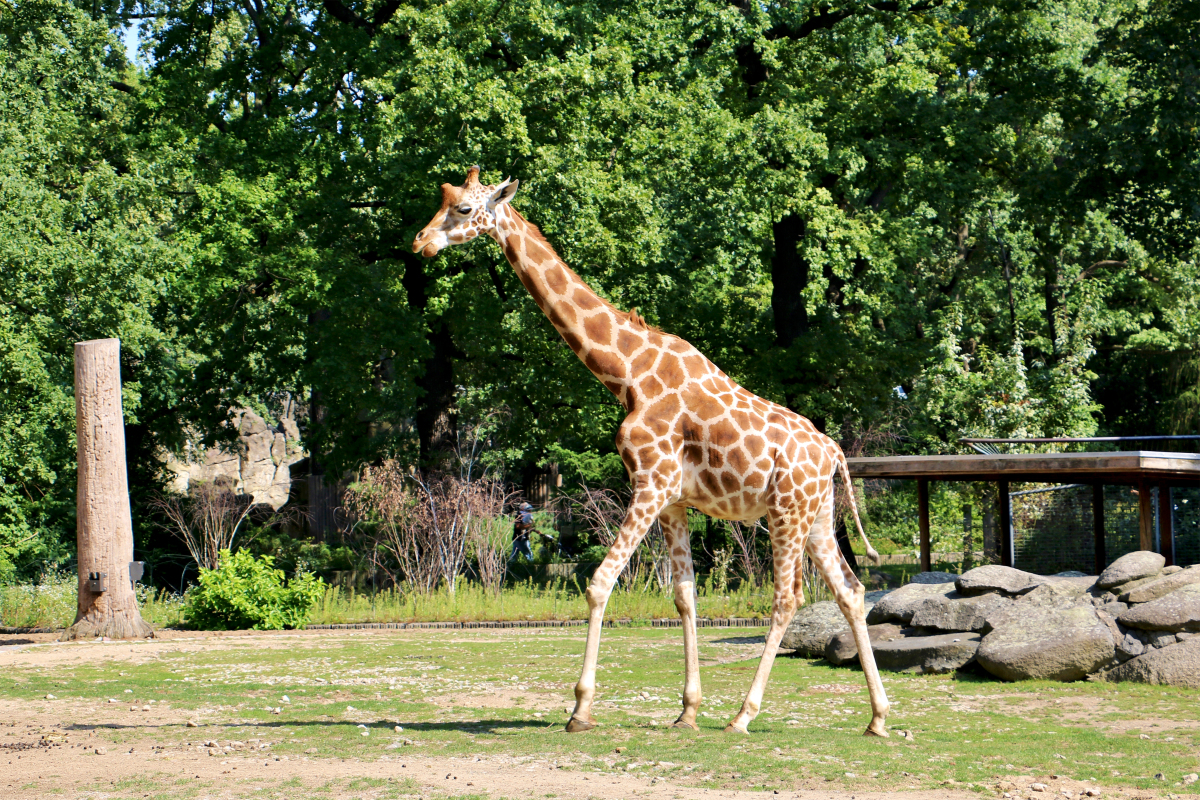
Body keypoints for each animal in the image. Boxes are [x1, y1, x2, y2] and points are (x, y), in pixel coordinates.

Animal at [412, 167, 892, 738]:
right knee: (851, 591)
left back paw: (743, 716)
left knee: (788, 597)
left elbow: (600, 582)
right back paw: (878, 718)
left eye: (463, 209)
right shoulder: (673, 499)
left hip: (786, 512)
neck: (628, 374)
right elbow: (684, 594)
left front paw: (580, 709)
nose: (420, 242)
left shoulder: (651, 482)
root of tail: (833, 451)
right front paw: (687, 711)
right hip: (816, 516)